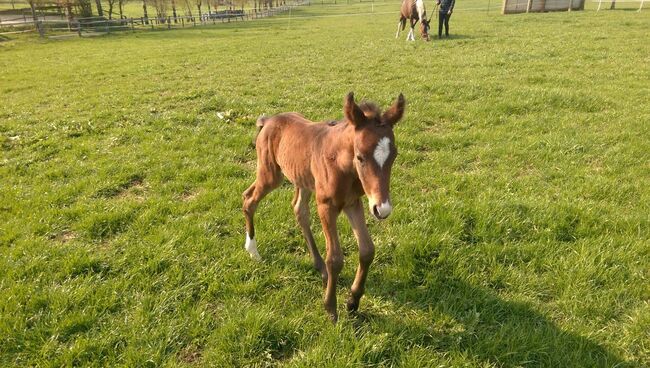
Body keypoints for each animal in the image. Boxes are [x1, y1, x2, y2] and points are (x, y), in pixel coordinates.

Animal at [243, 92, 404, 322]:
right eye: (360, 157)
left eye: (394, 156)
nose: (382, 209)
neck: (342, 165)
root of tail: (267, 121)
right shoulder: (326, 206)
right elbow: (335, 259)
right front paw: (331, 309)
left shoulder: (353, 203)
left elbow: (367, 250)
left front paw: (353, 301)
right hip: (270, 175)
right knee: (249, 199)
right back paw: (253, 251)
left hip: (302, 179)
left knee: (299, 210)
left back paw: (319, 266)